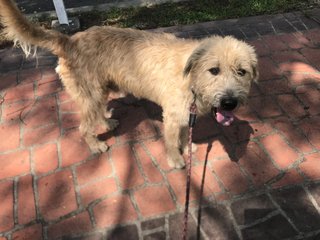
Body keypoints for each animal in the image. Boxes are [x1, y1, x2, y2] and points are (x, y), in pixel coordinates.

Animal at [0, 0, 258, 169]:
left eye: (241, 71)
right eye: (214, 70)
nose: (229, 102)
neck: (191, 77)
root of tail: (70, 40)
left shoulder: (186, 116)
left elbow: (185, 135)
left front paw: (187, 147)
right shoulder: (173, 116)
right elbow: (171, 141)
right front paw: (176, 159)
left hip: (99, 91)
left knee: (98, 114)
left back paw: (107, 123)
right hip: (91, 94)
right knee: (83, 127)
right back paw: (95, 146)